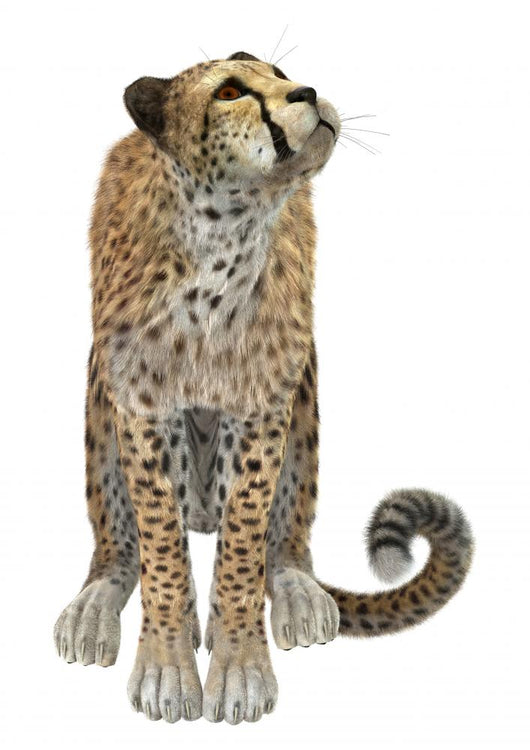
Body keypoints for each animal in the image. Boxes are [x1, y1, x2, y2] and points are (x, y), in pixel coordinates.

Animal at [53, 51, 474, 724]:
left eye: (280, 73)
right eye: (230, 92)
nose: (307, 92)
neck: (222, 240)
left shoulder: (264, 404)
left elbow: (244, 543)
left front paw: (239, 666)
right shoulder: (141, 404)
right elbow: (161, 546)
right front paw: (168, 665)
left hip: (304, 391)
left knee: (281, 541)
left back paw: (296, 594)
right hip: (101, 392)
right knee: (124, 541)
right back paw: (97, 607)